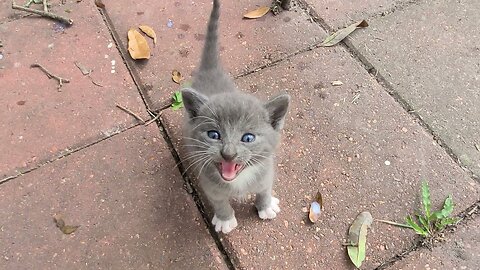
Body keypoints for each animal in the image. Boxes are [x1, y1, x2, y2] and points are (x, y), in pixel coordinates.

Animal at [182, 0, 290, 234]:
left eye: (248, 138)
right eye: (214, 134)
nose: (228, 154)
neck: (238, 181)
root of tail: (211, 72)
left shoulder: (267, 170)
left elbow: (264, 189)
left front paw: (266, 206)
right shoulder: (209, 183)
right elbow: (220, 201)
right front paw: (225, 219)